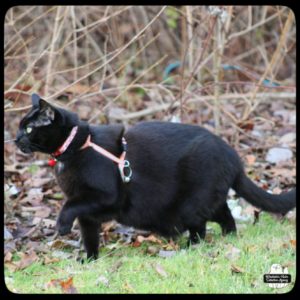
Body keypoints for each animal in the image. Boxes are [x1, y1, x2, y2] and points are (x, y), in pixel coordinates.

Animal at [15, 95, 296, 258]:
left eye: (28, 129)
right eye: (20, 127)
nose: (15, 139)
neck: (78, 146)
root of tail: (233, 156)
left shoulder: (104, 196)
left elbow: (69, 206)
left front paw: (62, 226)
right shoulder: (88, 214)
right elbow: (89, 237)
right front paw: (89, 262)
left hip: (191, 203)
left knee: (201, 227)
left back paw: (190, 249)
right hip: (206, 199)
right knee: (224, 214)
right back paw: (228, 237)